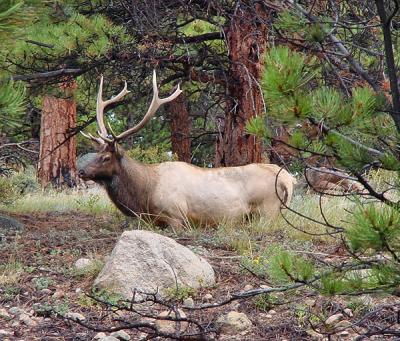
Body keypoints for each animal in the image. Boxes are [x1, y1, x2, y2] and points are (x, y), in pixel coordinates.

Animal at [79, 70, 296, 227]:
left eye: (106, 157)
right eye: (96, 153)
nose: (81, 171)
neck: (145, 195)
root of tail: (288, 180)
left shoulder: (176, 217)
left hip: (267, 210)